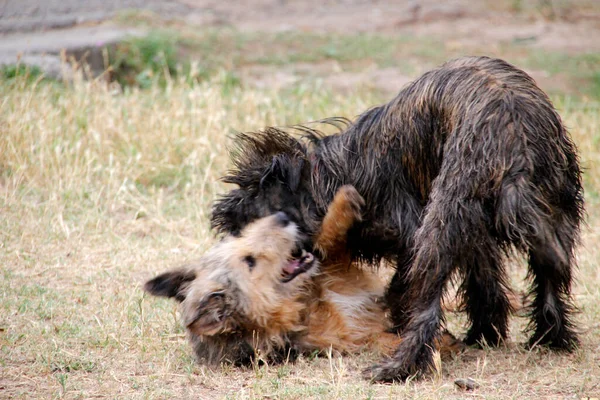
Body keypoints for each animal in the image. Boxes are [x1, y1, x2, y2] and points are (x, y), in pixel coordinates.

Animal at [143, 186, 462, 364]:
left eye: (239, 238)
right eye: (249, 262)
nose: (282, 216)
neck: (306, 301)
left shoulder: (333, 267)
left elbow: (327, 242)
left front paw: (343, 201)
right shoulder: (352, 339)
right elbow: (382, 341)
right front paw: (436, 344)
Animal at [210, 56, 580, 382]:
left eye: (249, 226)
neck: (330, 176)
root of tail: (516, 146)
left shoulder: (411, 229)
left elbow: (406, 290)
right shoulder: (475, 235)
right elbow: (484, 281)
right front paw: (484, 334)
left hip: (441, 219)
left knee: (427, 304)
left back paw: (397, 368)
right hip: (557, 204)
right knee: (550, 276)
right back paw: (552, 338)